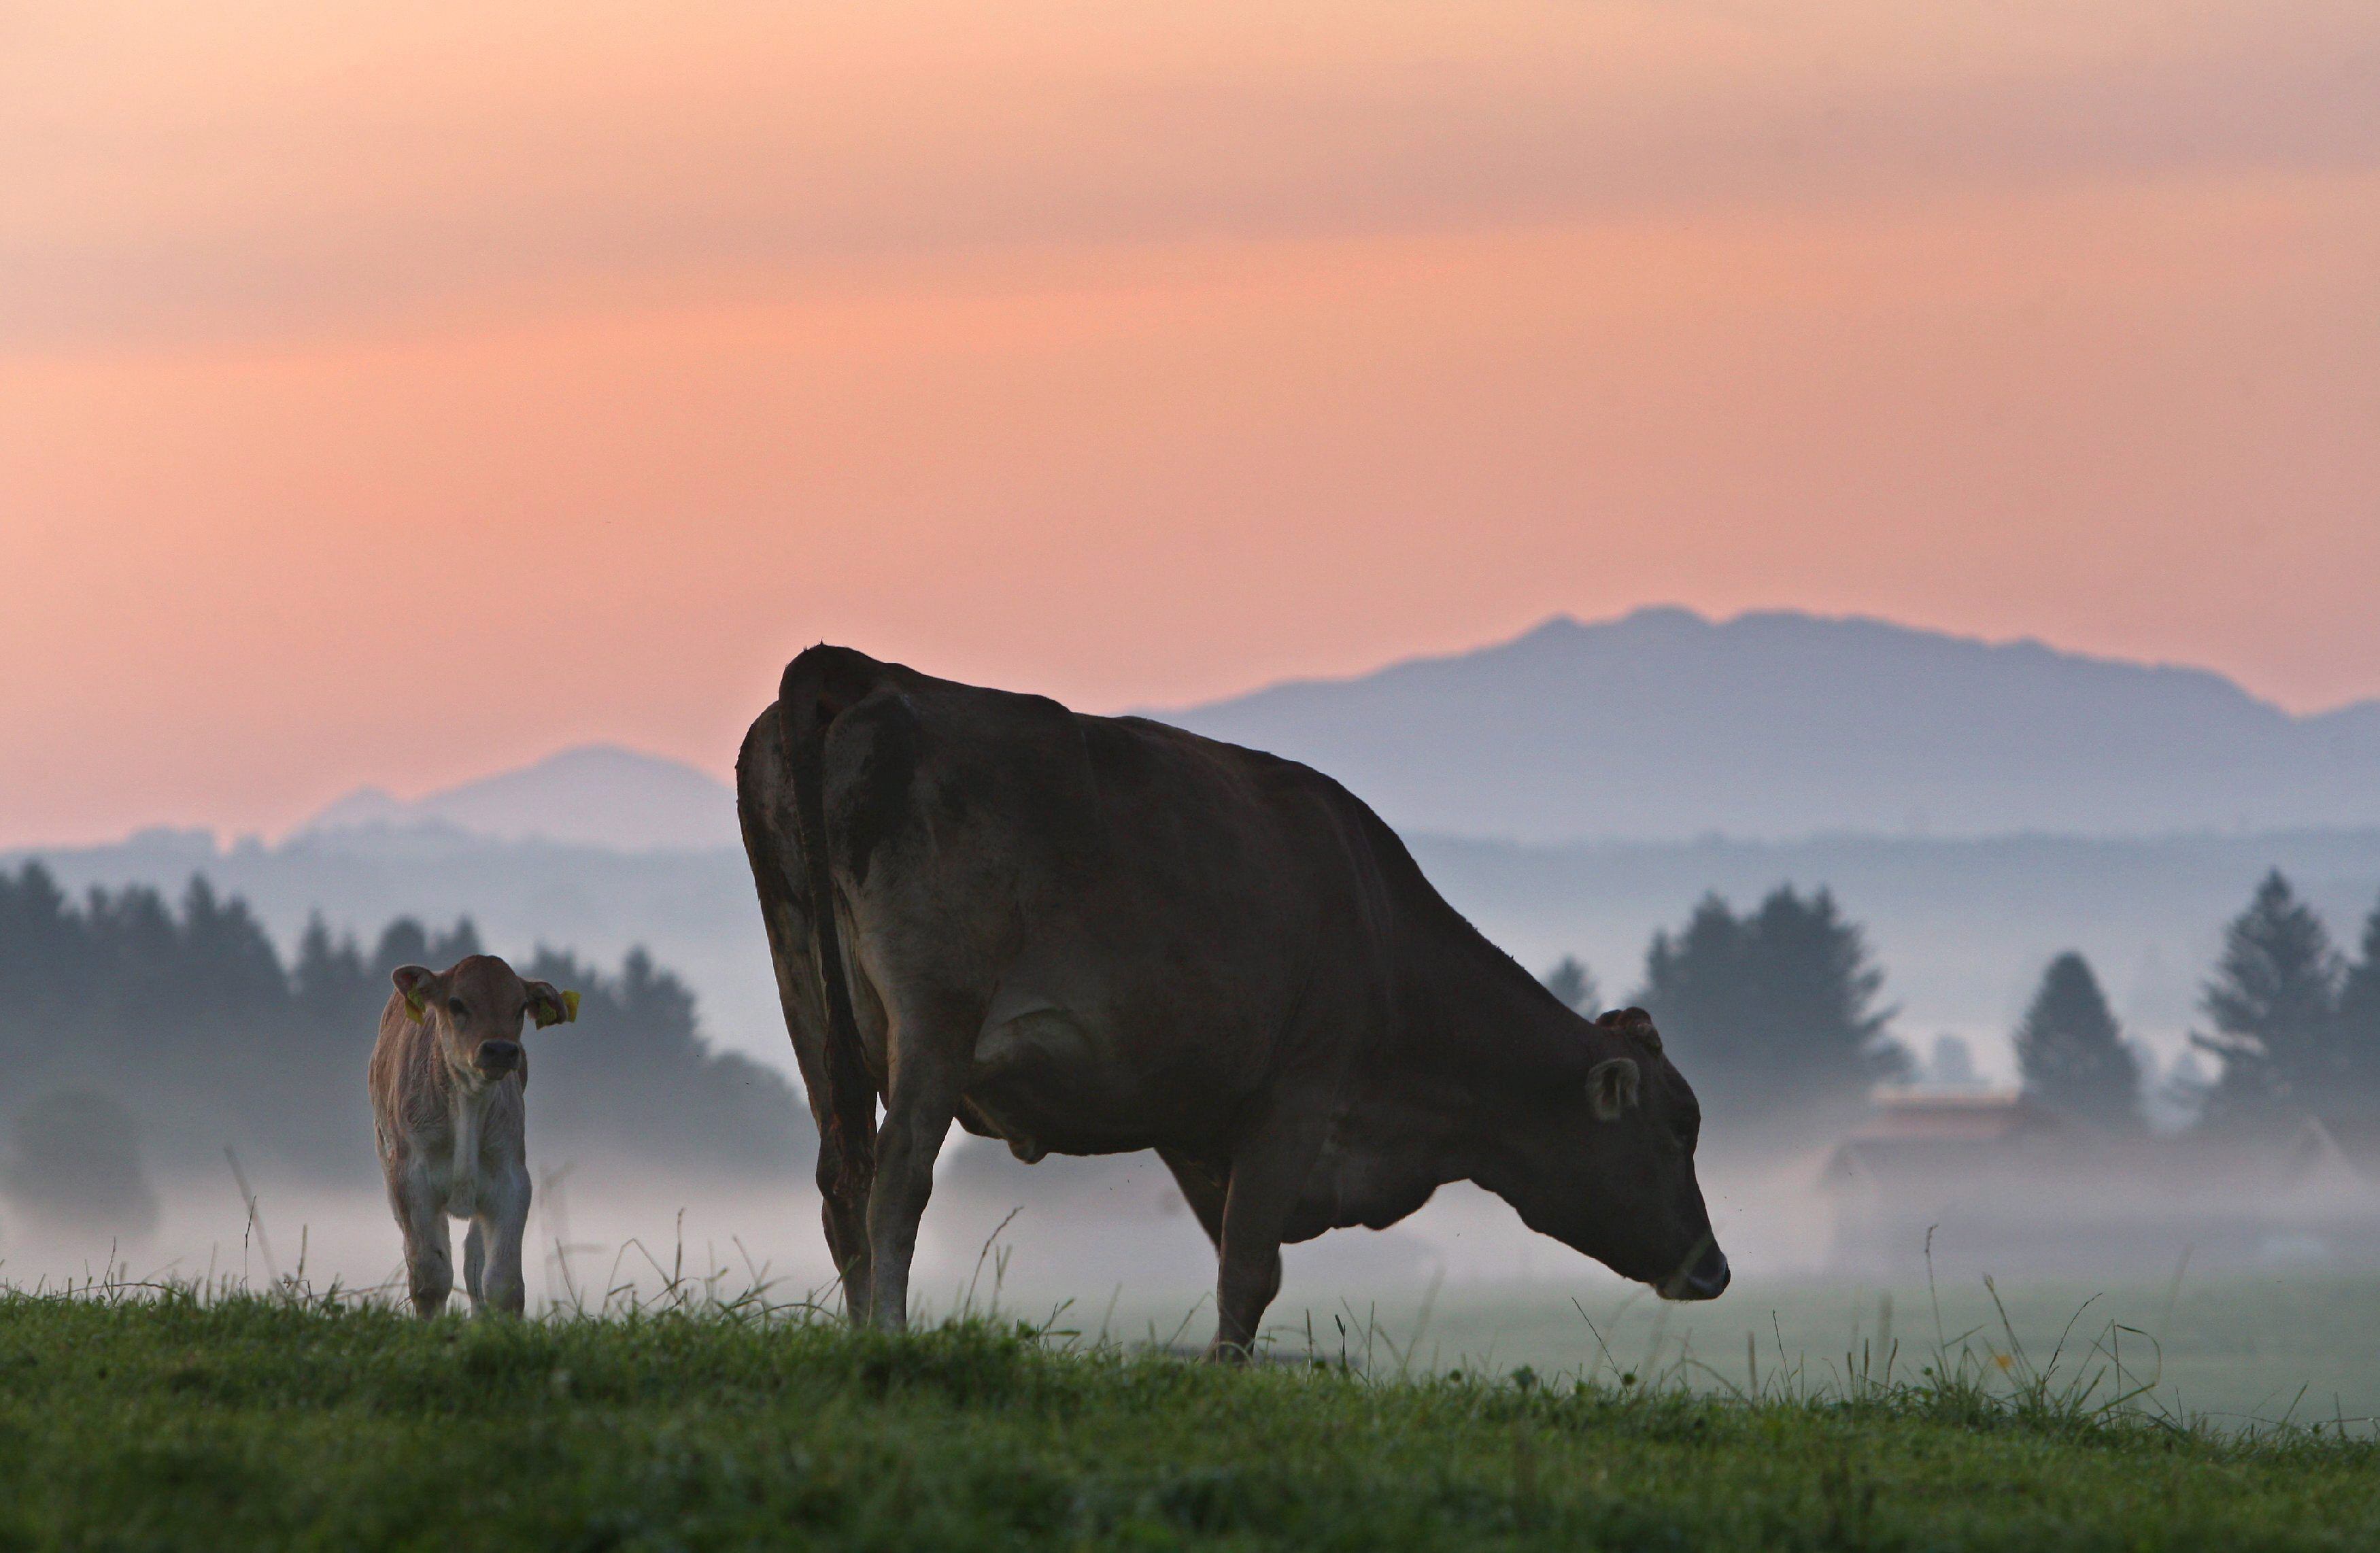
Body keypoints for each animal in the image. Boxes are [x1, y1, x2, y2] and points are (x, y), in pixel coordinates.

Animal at [733, 647, 1723, 1350]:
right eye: (1676, 1129)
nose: (1712, 1268)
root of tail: (865, 670)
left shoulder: (1196, 1120)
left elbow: (1234, 1258)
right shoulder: (1295, 1099)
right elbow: (1251, 1269)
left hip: (805, 991)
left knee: (841, 1180)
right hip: (936, 1011)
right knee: (897, 1177)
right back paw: (890, 1337)